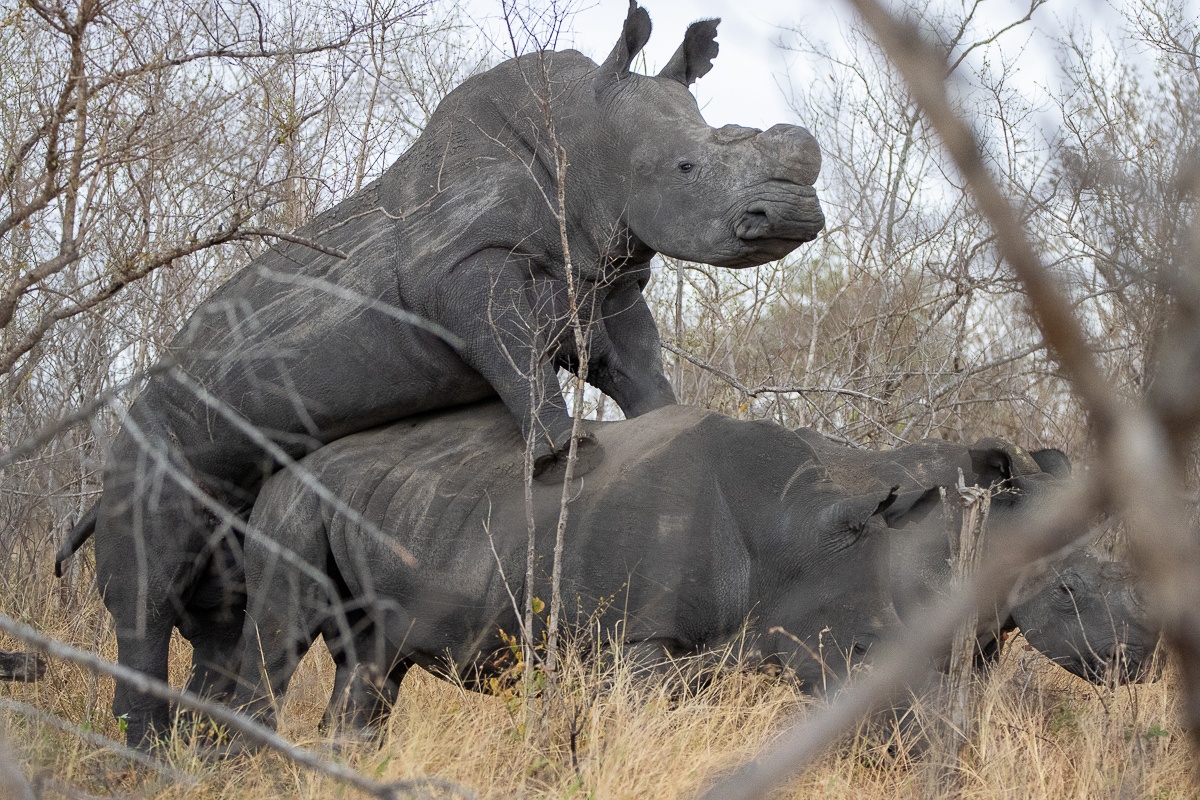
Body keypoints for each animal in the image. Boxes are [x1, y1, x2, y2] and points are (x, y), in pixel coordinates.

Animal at [59, 2, 827, 746]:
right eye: (685, 168)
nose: (792, 215)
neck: (585, 136)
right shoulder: (458, 269)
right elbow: (515, 358)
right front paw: (564, 454)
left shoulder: (607, 288)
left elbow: (639, 369)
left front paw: (661, 423)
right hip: (150, 440)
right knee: (150, 595)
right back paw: (142, 754)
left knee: (226, 608)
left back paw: (192, 751)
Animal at [231, 401, 913, 735]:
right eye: (862, 648)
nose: (905, 739)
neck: (786, 537)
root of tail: (287, 462)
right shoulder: (639, 640)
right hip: (296, 498)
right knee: (276, 640)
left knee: (370, 666)